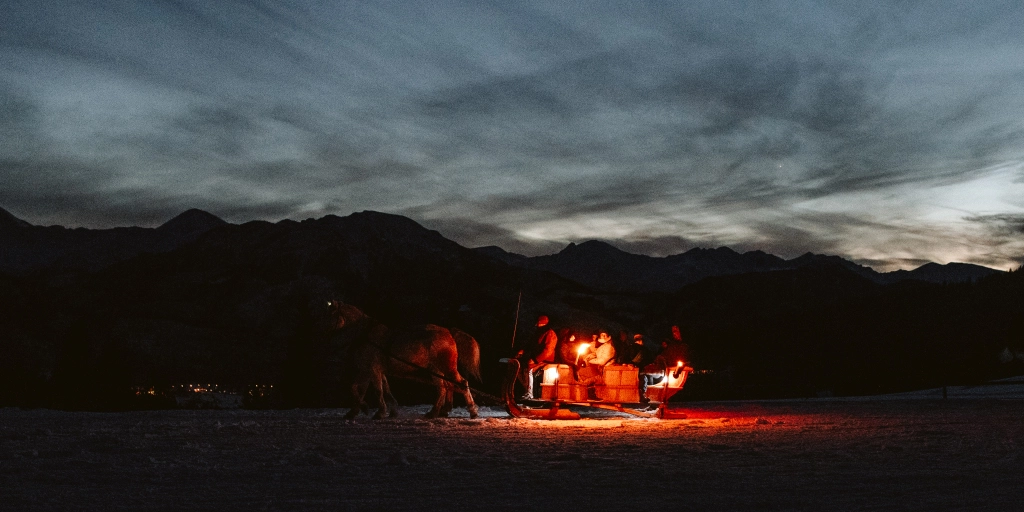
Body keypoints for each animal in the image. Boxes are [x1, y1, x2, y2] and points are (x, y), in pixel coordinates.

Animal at [327, 301, 479, 417]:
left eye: (328, 315)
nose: (323, 333)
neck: (366, 336)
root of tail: (448, 332)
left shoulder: (372, 369)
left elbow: (377, 390)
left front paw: (380, 412)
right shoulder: (369, 370)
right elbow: (360, 388)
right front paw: (358, 410)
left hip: (447, 367)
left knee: (461, 384)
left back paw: (472, 411)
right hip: (436, 369)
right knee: (444, 387)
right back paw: (437, 412)